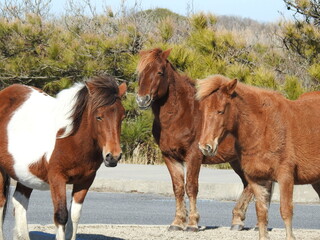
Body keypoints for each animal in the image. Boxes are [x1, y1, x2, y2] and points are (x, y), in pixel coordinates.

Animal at [0, 76, 126, 240]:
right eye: (99, 117)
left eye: (122, 116)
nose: (113, 156)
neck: (71, 137)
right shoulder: (57, 179)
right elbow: (61, 216)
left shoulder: (85, 181)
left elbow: (74, 216)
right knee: (2, 203)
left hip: (25, 173)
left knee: (19, 203)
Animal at [135, 47, 272, 232]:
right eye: (139, 72)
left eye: (159, 72)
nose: (142, 99)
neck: (182, 113)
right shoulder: (169, 156)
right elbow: (178, 188)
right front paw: (177, 222)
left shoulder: (194, 155)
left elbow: (191, 187)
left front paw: (192, 223)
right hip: (236, 160)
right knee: (250, 184)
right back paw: (240, 221)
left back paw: (251, 222)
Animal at [196, 74, 320, 239]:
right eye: (202, 110)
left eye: (220, 111)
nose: (205, 146)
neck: (264, 129)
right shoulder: (256, 179)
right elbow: (261, 212)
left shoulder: (285, 177)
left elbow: (286, 210)